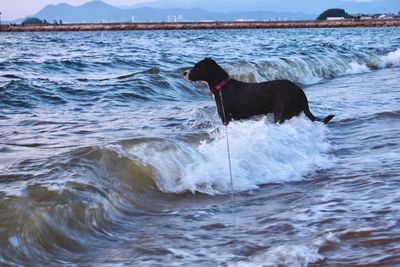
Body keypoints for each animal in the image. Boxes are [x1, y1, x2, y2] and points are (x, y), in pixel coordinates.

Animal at [184, 58, 334, 125]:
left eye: (197, 67)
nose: (184, 73)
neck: (222, 87)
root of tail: (300, 93)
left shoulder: (226, 117)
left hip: (281, 112)